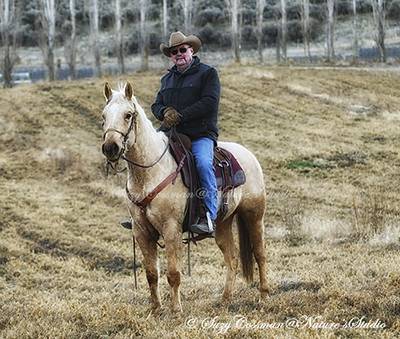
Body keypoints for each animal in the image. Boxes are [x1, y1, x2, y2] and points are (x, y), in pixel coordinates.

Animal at [101, 81, 268, 314]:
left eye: (128, 115)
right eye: (104, 115)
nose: (110, 148)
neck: (149, 173)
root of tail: (248, 155)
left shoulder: (171, 228)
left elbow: (173, 274)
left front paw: (176, 310)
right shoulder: (141, 232)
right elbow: (152, 274)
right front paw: (156, 309)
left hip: (254, 215)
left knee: (259, 253)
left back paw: (263, 297)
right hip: (222, 224)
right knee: (232, 257)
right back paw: (226, 298)